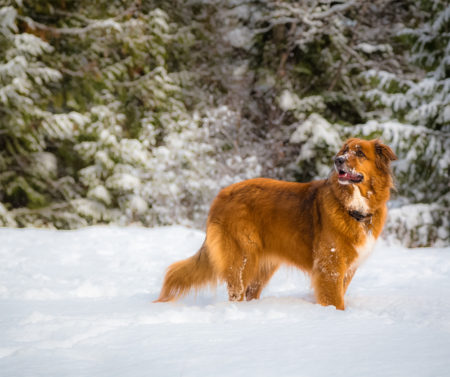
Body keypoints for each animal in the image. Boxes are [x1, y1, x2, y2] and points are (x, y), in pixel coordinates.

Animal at [156, 138, 398, 308]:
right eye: (344, 152)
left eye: (360, 153)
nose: (337, 161)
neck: (352, 207)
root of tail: (222, 194)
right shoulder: (330, 267)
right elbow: (335, 301)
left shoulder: (346, 269)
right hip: (242, 259)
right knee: (237, 293)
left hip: (261, 267)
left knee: (250, 293)